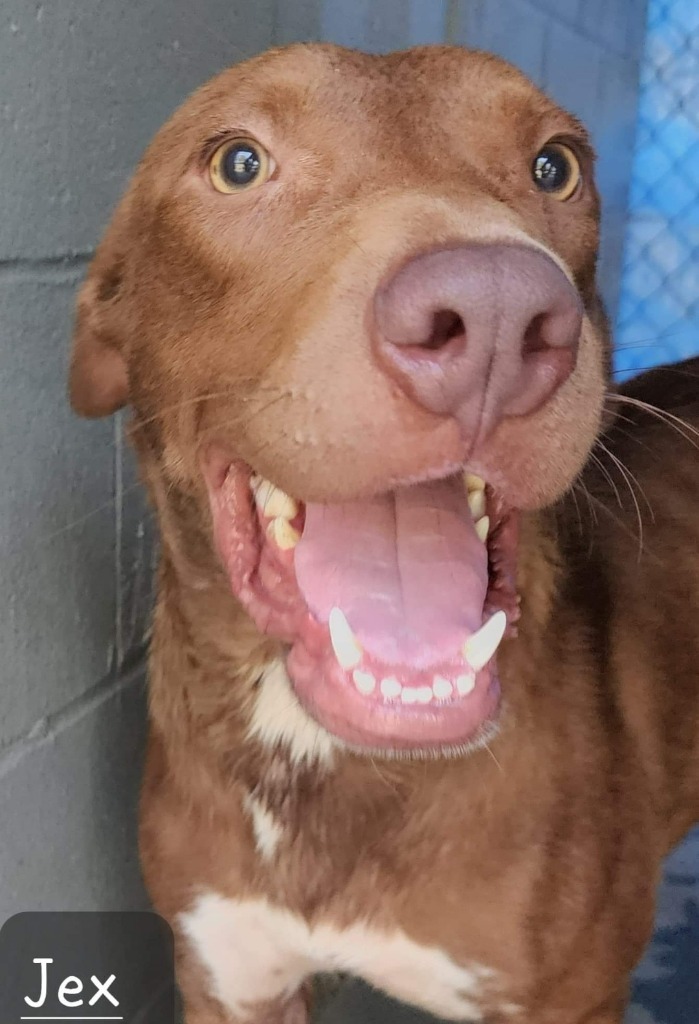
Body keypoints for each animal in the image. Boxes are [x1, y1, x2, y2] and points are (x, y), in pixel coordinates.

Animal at [67, 41, 699, 1024]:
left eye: (554, 167)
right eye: (236, 162)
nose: (495, 313)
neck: (325, 760)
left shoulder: (575, 996)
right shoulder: (226, 973)